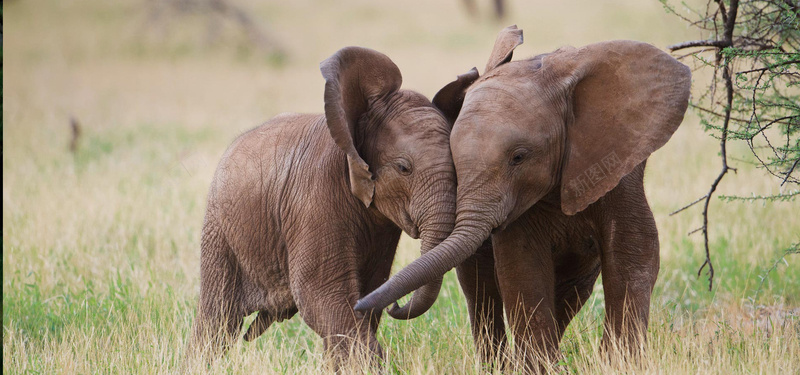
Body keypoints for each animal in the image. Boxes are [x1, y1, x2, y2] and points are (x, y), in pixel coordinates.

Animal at [188, 46, 460, 368]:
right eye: (404, 168)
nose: (397, 305)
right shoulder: (315, 199)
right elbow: (322, 295)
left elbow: (367, 292)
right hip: (220, 230)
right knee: (219, 319)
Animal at [354, 25, 692, 372]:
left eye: (519, 157)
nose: (388, 305)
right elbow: (522, 264)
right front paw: (541, 369)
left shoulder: (619, 166)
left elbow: (633, 250)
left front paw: (619, 364)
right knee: (481, 289)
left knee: (572, 291)